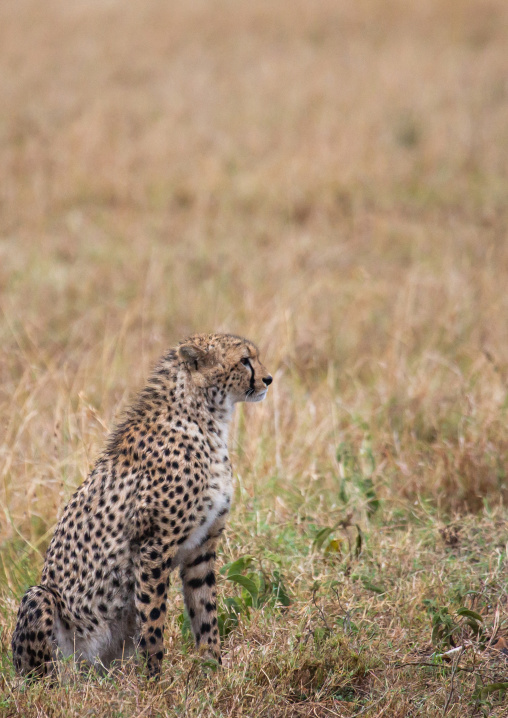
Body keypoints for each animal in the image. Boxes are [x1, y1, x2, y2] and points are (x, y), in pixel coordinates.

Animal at [11, 332, 272, 679]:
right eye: (245, 360)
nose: (268, 379)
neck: (205, 417)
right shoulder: (153, 546)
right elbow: (153, 621)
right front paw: (155, 682)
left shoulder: (201, 548)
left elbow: (206, 615)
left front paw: (212, 672)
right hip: (40, 599)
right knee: (43, 675)